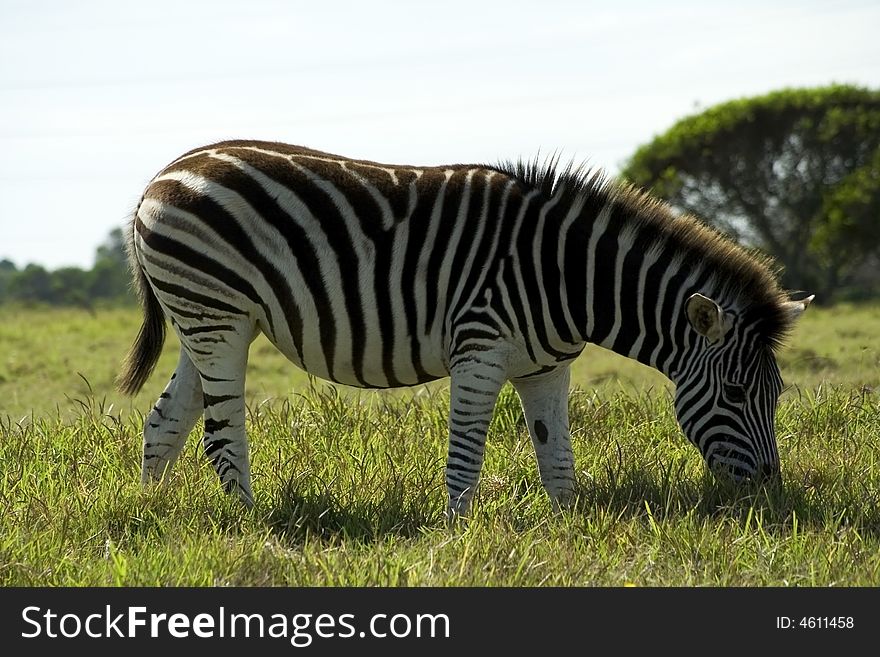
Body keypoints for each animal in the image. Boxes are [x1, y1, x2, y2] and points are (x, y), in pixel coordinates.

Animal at [117, 140, 812, 516]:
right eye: (735, 394)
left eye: (777, 394)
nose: (771, 494)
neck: (567, 275)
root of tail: (162, 174)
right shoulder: (480, 350)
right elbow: (466, 456)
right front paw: (457, 535)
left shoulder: (547, 366)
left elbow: (557, 458)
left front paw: (569, 531)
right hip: (218, 316)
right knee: (220, 431)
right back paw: (254, 525)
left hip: (205, 321)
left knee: (166, 421)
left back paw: (156, 511)